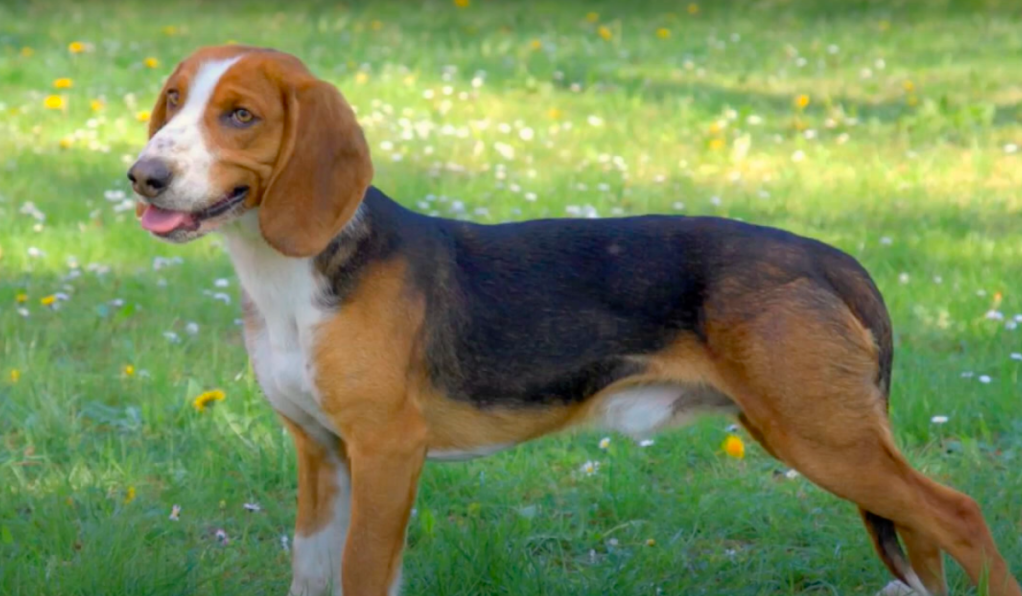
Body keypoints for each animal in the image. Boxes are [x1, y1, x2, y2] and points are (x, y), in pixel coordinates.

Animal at [129, 46, 1021, 596]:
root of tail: (828, 258)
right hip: (839, 438)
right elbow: (313, 573)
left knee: (960, 515)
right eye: (172, 102)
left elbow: (363, 574)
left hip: (822, 436)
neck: (290, 278)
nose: (143, 175)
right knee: (925, 530)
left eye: (240, 116)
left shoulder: (387, 452)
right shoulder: (322, 454)